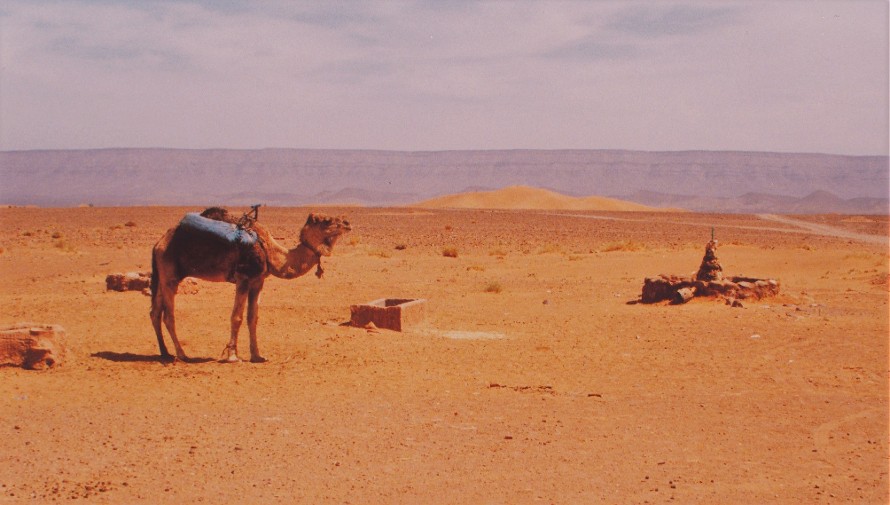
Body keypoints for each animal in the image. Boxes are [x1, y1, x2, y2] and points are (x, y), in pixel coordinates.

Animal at [149, 206, 350, 362]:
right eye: (326, 220)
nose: (347, 223)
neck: (268, 250)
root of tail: (158, 243)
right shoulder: (243, 277)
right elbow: (236, 317)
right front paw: (232, 356)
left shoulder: (258, 281)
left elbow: (253, 318)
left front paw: (257, 356)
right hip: (170, 275)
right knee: (168, 315)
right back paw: (182, 354)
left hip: (162, 274)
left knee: (155, 312)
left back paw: (165, 353)